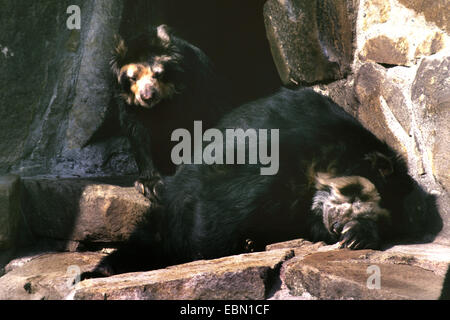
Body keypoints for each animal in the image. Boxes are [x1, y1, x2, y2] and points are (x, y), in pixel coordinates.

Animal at [81, 87, 414, 278]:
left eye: (373, 215)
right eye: (355, 195)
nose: (337, 225)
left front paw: (357, 235)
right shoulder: (288, 149)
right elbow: (227, 198)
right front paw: (207, 252)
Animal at [110, 24, 234, 200]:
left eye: (158, 74)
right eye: (133, 78)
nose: (147, 97)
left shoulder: (194, 86)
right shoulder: (128, 103)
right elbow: (137, 132)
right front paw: (148, 184)